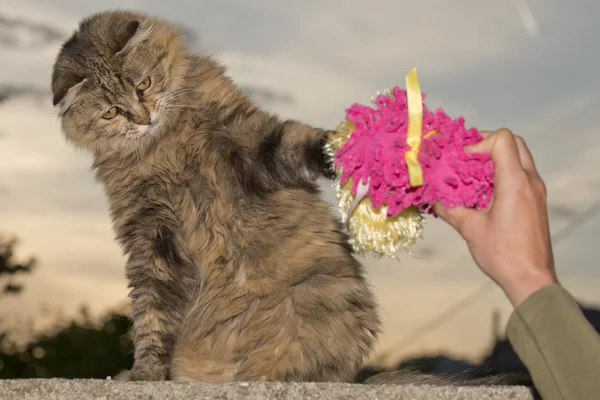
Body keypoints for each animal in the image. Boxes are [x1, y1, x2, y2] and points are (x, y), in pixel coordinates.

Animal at [52, 10, 380, 382]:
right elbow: (150, 312)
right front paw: (146, 372)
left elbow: (301, 143)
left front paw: (344, 150)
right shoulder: (149, 230)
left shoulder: (246, 139)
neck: (165, 143)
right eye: (110, 112)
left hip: (319, 294)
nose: (143, 119)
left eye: (143, 85)